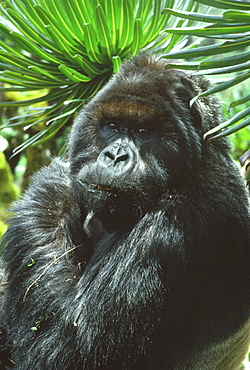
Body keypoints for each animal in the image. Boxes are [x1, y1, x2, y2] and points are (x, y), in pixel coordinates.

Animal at [0, 53, 250, 368]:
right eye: (112, 126)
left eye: (143, 131)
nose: (115, 155)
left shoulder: (181, 219)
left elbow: (70, 349)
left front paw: (56, 182)